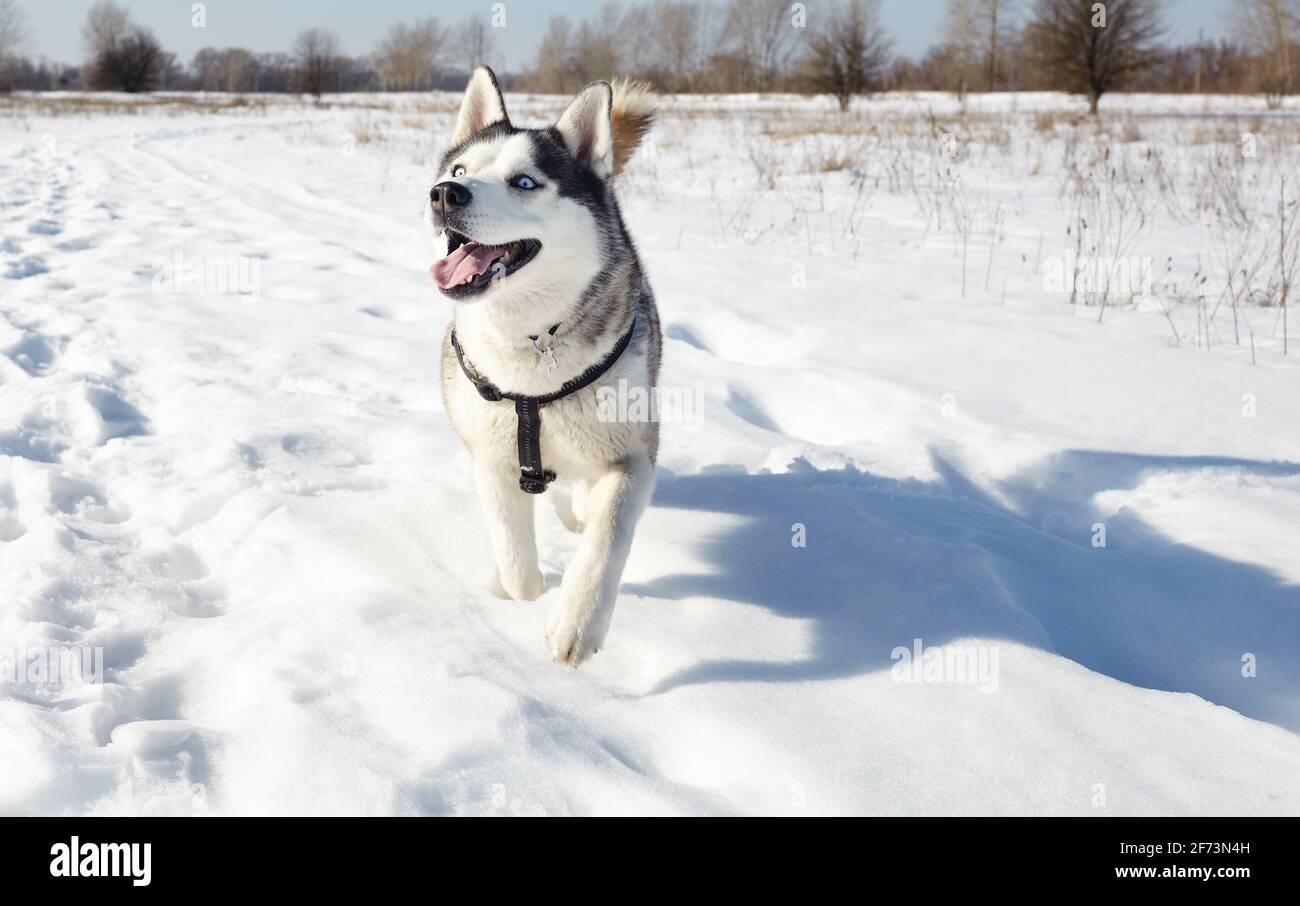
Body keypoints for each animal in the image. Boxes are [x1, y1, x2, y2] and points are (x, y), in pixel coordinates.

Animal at [428, 65, 660, 665]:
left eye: (525, 182)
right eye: (459, 170)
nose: (444, 194)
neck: (533, 339)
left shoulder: (632, 455)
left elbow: (607, 535)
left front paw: (577, 623)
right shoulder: (491, 457)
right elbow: (513, 557)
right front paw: (524, 597)